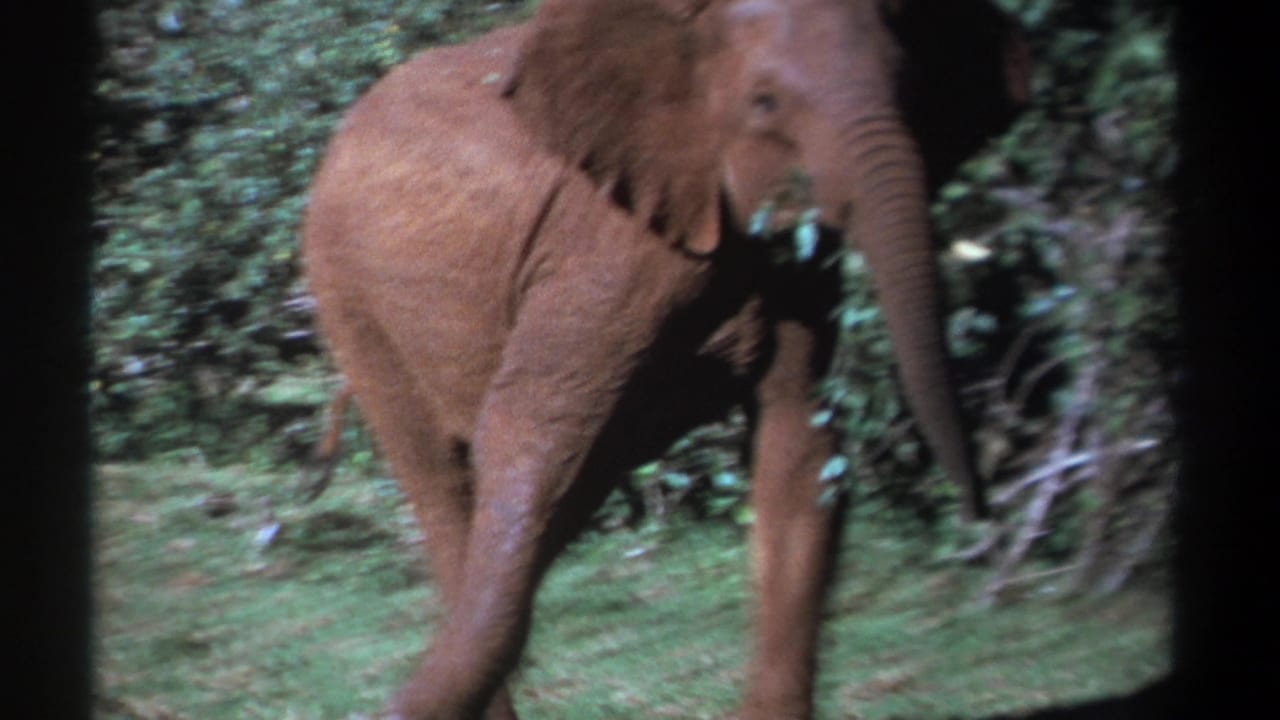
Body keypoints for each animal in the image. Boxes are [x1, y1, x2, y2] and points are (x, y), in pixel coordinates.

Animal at [301, 0, 1028, 717]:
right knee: (445, 485)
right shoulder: (608, 243)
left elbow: (799, 453)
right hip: (350, 299)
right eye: (765, 103)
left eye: (910, 84)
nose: (980, 512)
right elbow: (531, 431)